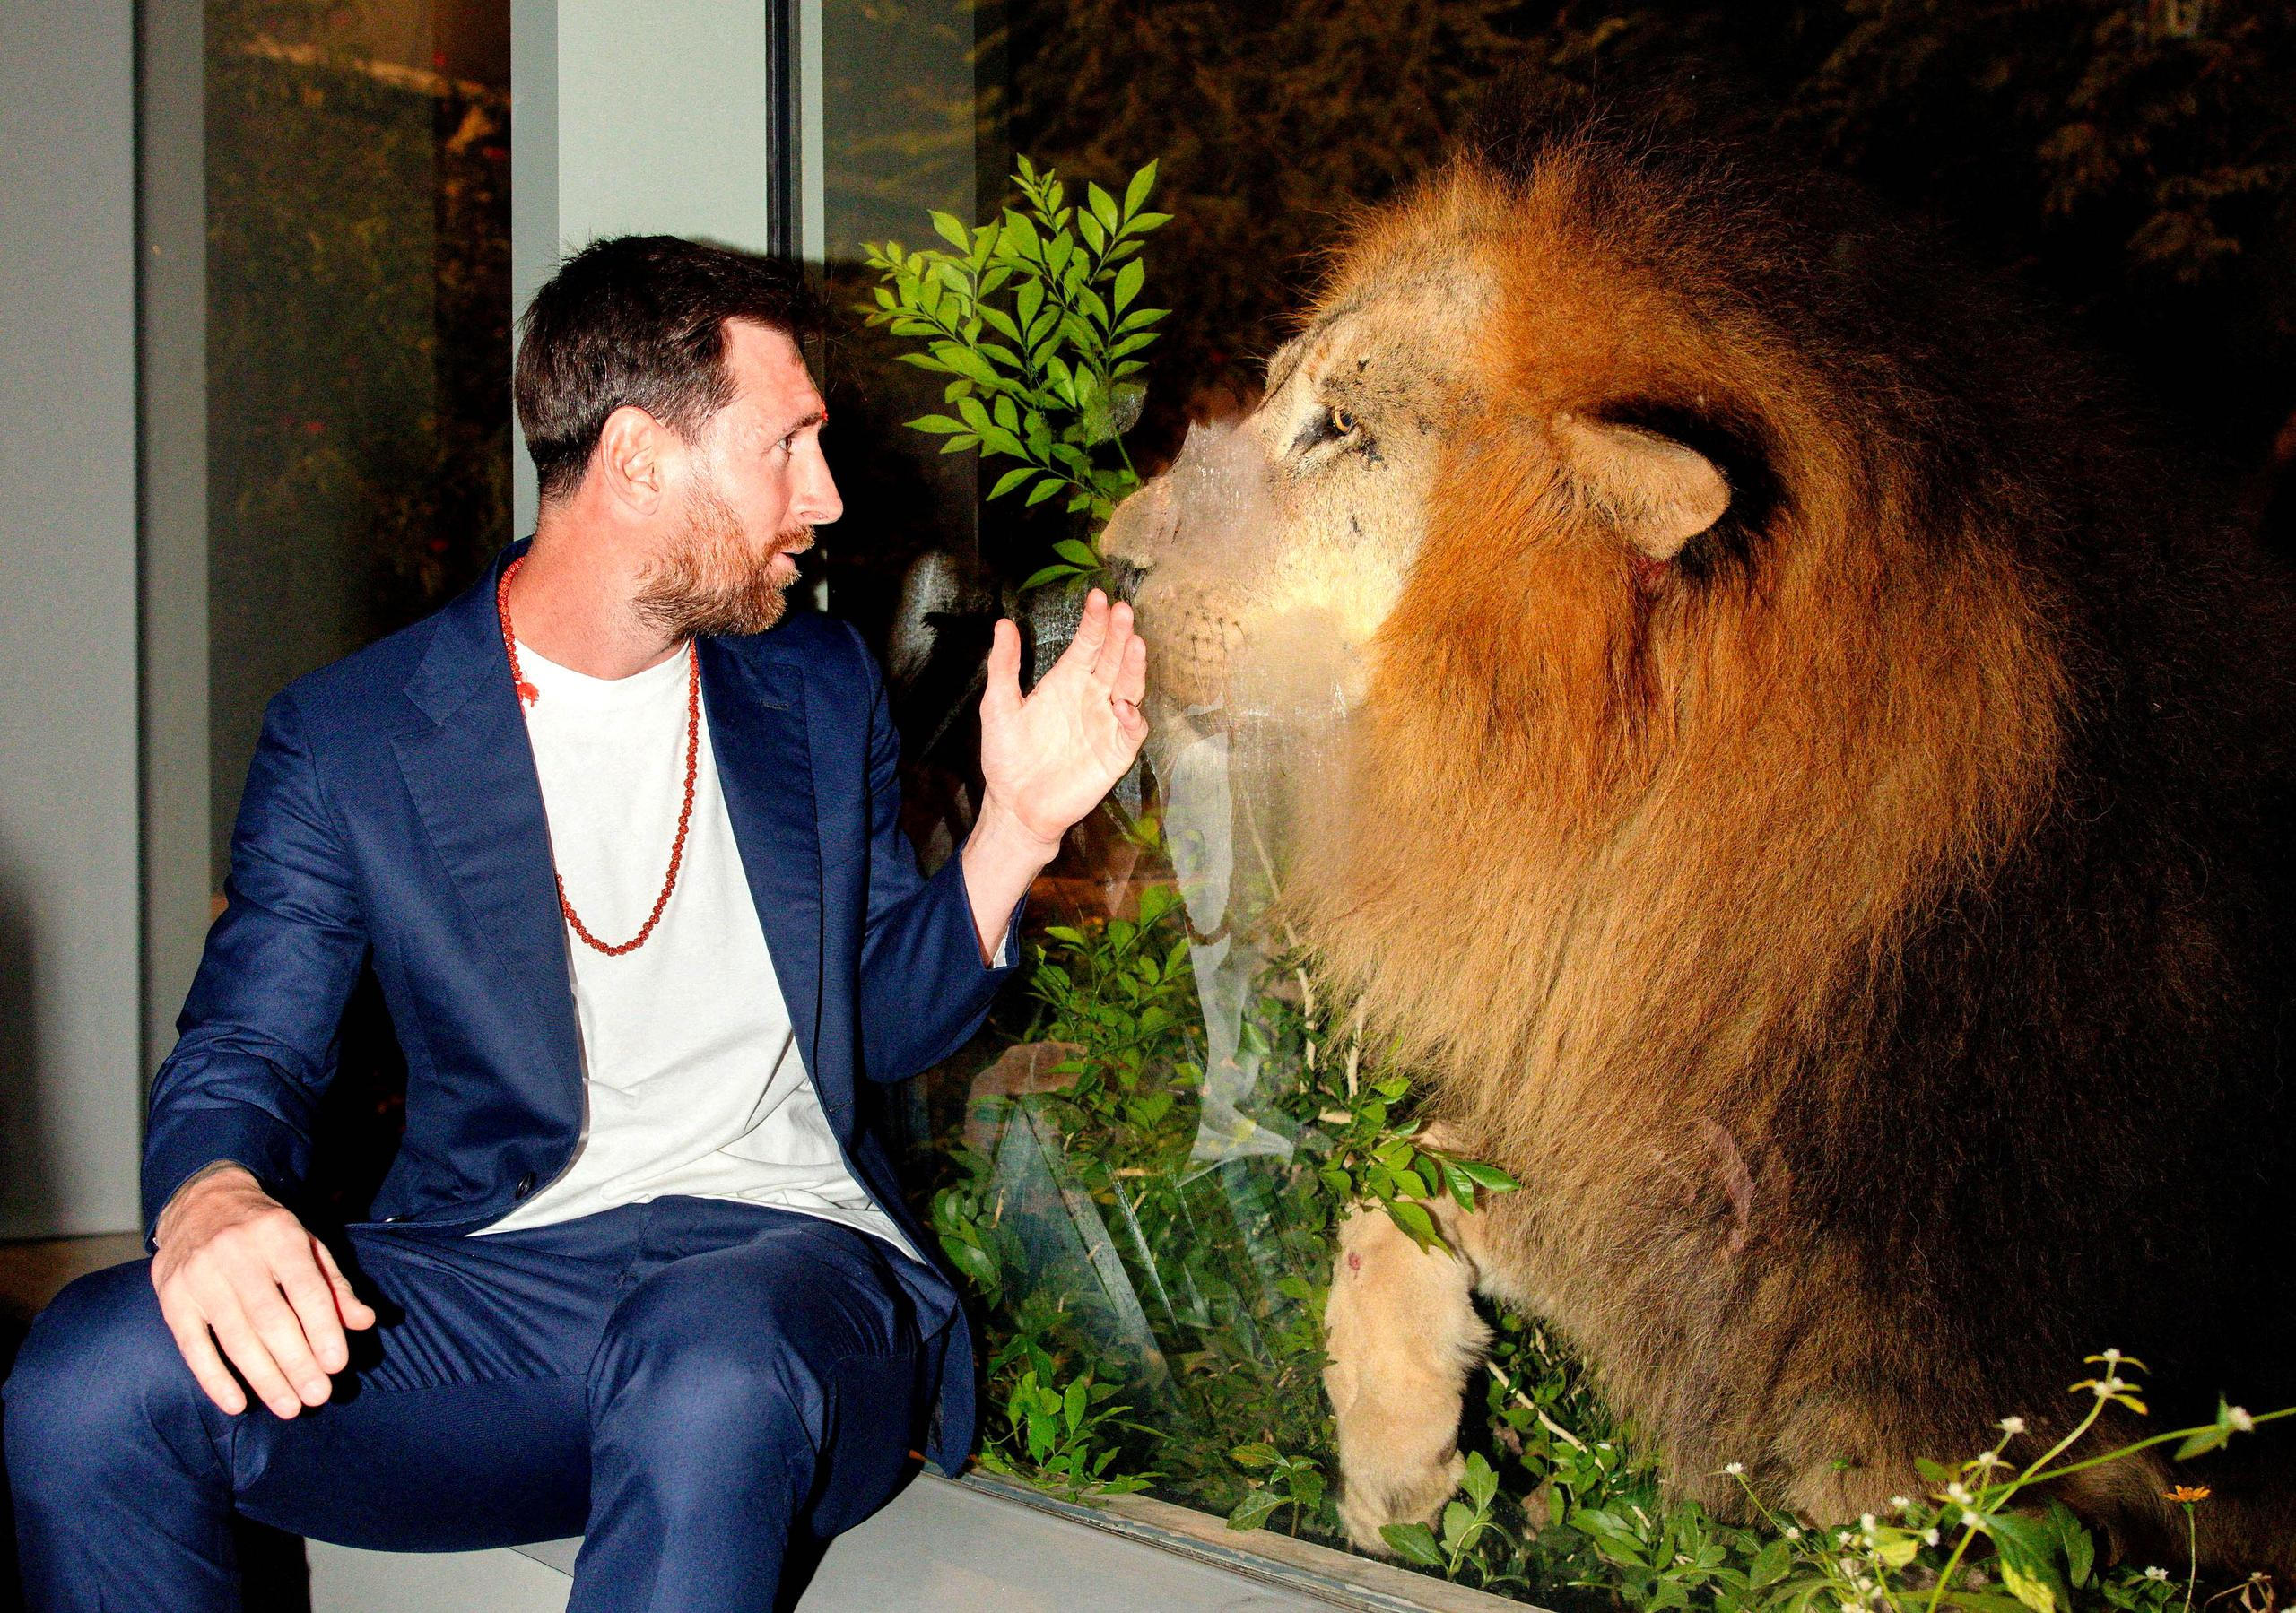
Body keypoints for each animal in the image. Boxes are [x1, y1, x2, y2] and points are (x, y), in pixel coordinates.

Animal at [1098, 107, 2296, 1574]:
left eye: (1341, 428)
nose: (1105, 560)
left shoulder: (1895, 1378)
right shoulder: (1665, 1165)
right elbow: (1407, 1181)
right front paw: (1404, 1481)